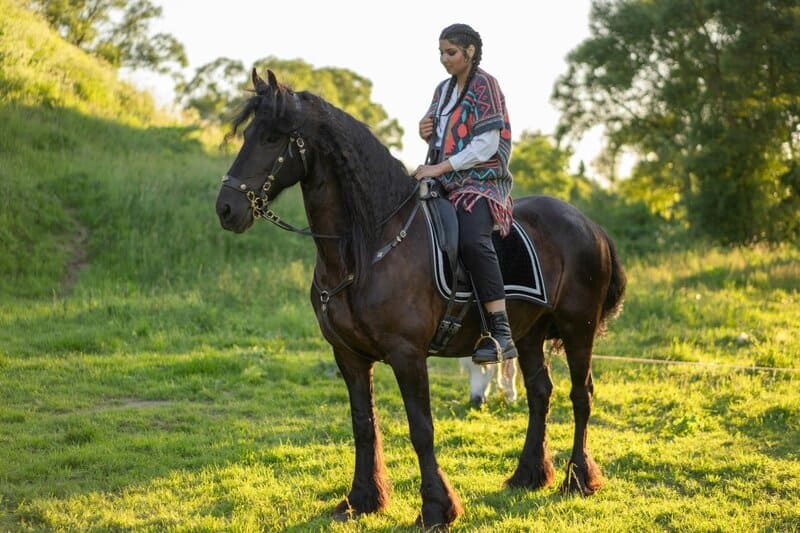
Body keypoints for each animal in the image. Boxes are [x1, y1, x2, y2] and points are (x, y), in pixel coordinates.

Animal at [215, 69, 626, 529]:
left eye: (272, 137)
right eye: (248, 134)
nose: (226, 208)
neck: (364, 248)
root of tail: (589, 225)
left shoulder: (407, 355)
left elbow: (421, 429)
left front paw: (435, 508)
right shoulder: (348, 355)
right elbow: (363, 425)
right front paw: (361, 499)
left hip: (578, 329)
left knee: (581, 395)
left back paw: (579, 479)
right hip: (529, 334)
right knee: (540, 393)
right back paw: (528, 475)